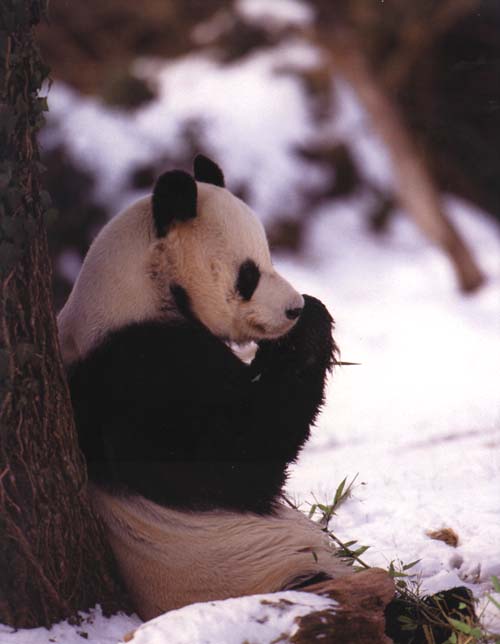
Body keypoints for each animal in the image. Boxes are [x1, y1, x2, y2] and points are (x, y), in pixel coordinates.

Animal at [57, 155, 352, 620]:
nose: (292, 308)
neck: (140, 287)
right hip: (253, 573)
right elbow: (234, 459)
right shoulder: (140, 371)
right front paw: (310, 323)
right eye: (248, 274)